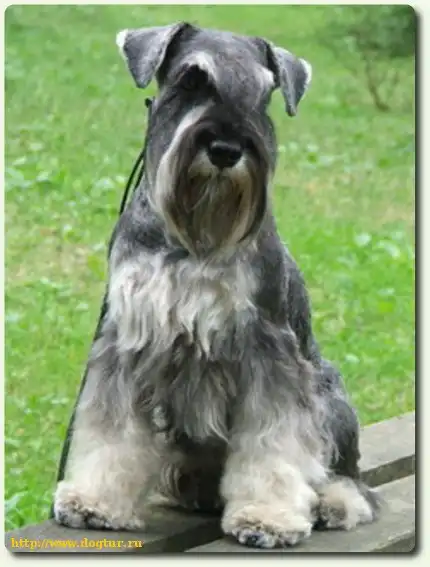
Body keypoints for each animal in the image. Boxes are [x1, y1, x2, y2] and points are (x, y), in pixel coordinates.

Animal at [53, 22, 380, 549]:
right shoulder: (124, 340)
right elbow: (110, 429)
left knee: (349, 478)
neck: (195, 235)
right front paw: (95, 500)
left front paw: (268, 516)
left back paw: (331, 502)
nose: (227, 149)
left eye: (265, 94)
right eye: (192, 80)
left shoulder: (269, 351)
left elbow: (273, 442)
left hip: (328, 394)